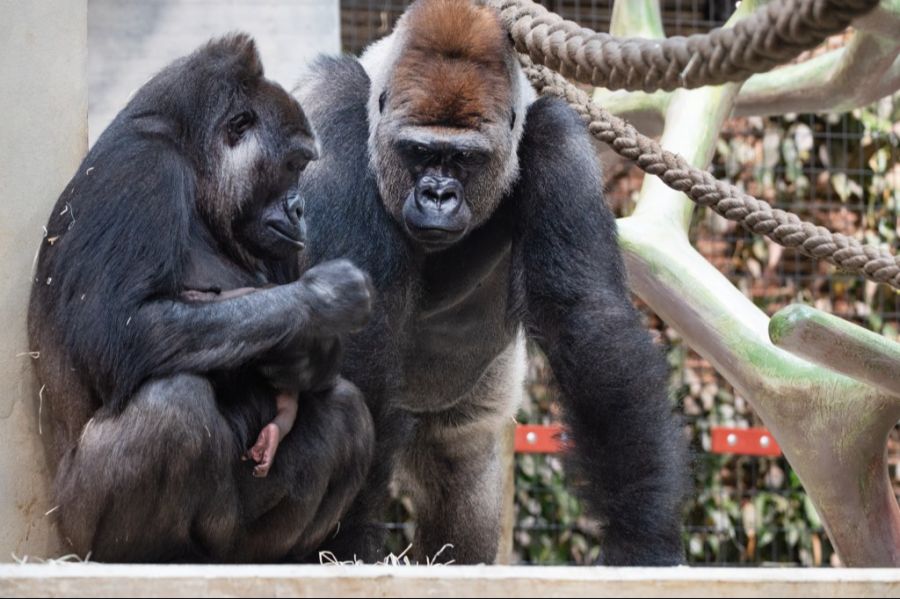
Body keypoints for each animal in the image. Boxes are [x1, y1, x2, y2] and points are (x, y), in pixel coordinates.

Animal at [28, 33, 375, 562]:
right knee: (172, 409)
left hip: (234, 542)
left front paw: (310, 348)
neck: (195, 160)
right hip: (74, 530)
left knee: (347, 412)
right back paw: (149, 557)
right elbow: (118, 331)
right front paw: (323, 302)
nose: (300, 208)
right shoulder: (142, 169)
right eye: (294, 164)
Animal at [295, 0, 690, 565]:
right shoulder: (334, 105)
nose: (438, 196)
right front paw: (341, 539)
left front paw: (643, 538)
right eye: (419, 152)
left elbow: (586, 319)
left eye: (464, 158)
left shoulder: (555, 135)